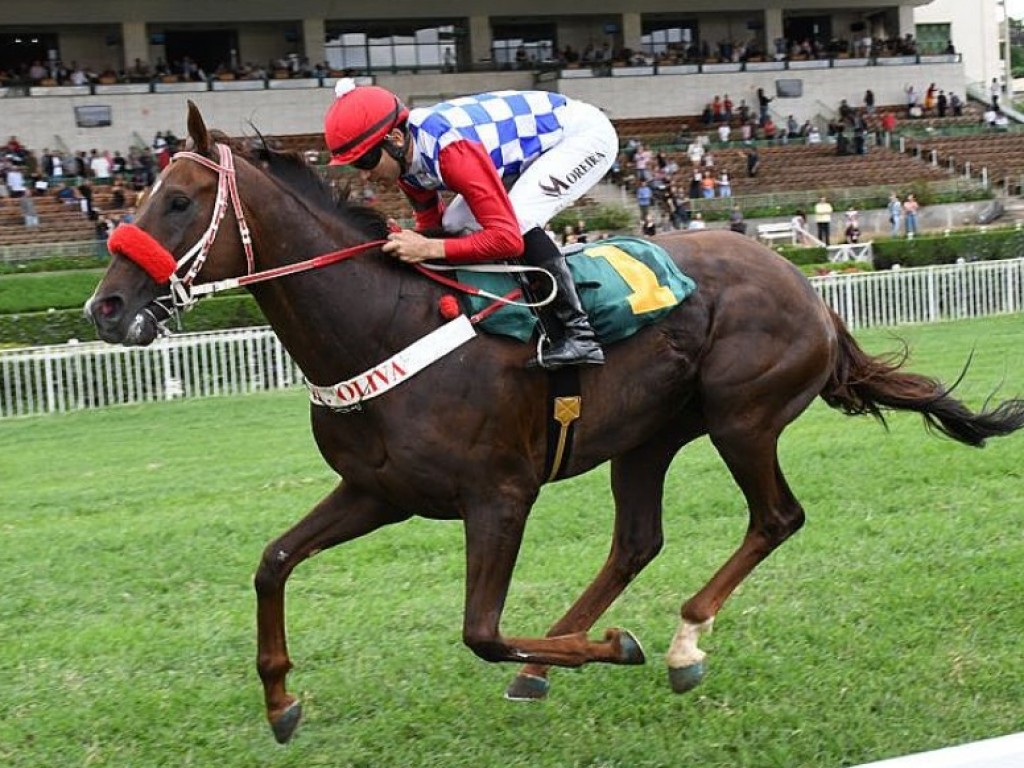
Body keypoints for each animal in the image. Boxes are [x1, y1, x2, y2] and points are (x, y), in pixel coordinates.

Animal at [86, 103, 1024, 745]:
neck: (385, 322)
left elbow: (479, 632)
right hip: (648, 437)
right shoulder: (378, 491)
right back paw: (552, 661)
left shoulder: (499, 494)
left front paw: (622, 648)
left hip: (742, 417)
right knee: (637, 542)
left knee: (775, 517)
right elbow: (274, 562)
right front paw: (281, 700)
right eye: (141, 194)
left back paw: (679, 642)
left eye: (178, 201)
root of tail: (809, 290)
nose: (106, 307)